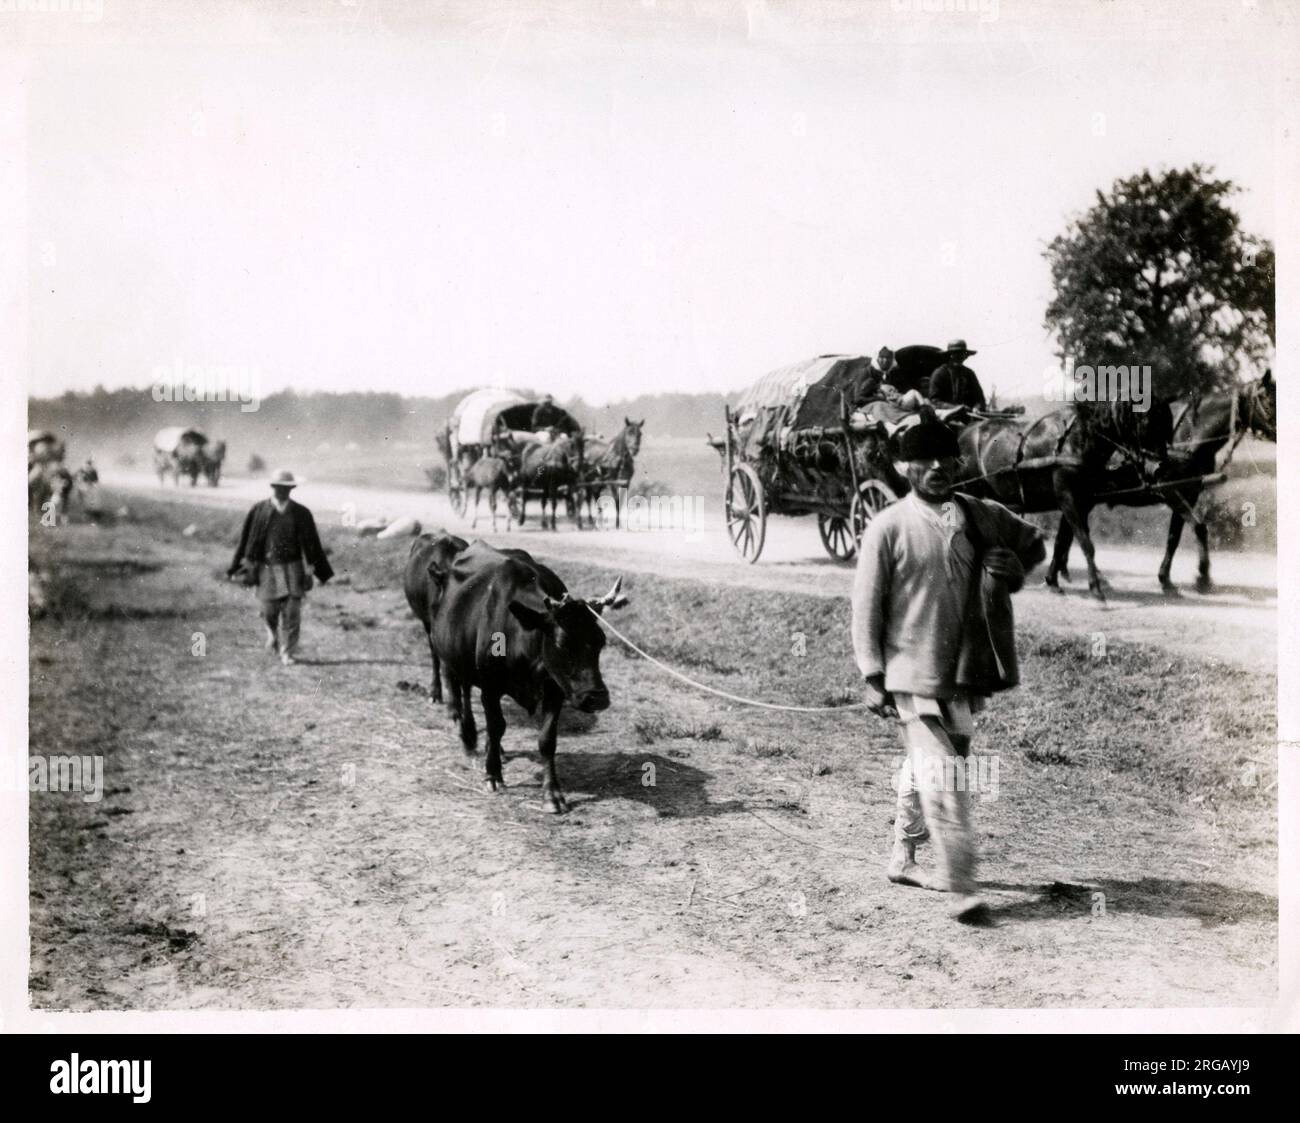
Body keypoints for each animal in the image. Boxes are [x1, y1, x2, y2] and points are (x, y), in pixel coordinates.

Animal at [1050, 371, 1274, 597]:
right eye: (1267, 399)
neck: (1189, 438)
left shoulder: (1189, 494)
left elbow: (1174, 538)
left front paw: (1166, 579)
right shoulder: (1170, 491)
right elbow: (1198, 527)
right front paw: (1202, 577)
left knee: (1069, 531)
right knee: (1072, 532)